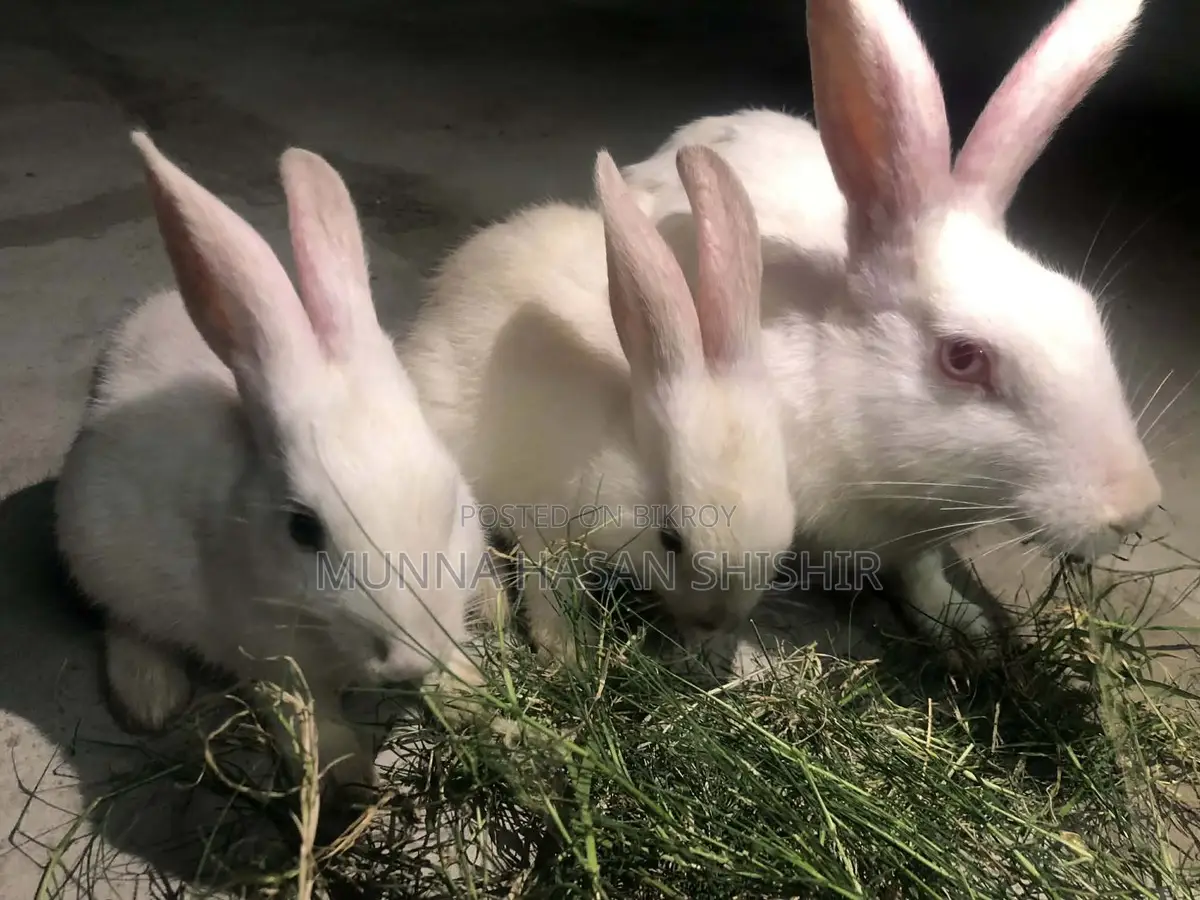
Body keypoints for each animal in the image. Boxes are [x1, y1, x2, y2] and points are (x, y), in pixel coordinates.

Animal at [53, 131, 503, 807]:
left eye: (452, 503)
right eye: (303, 530)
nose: (405, 659)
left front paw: (487, 711)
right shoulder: (269, 655)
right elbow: (311, 718)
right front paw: (346, 782)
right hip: (97, 547)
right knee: (123, 621)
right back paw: (150, 698)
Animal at [400, 144, 797, 667]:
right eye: (671, 539)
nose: (718, 620)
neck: (613, 441)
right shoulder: (543, 522)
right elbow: (549, 589)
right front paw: (570, 654)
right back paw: (493, 605)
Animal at [614, 0, 1160, 661]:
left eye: (1085, 310)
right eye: (962, 357)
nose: (1135, 507)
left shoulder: (917, 541)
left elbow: (920, 577)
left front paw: (964, 625)